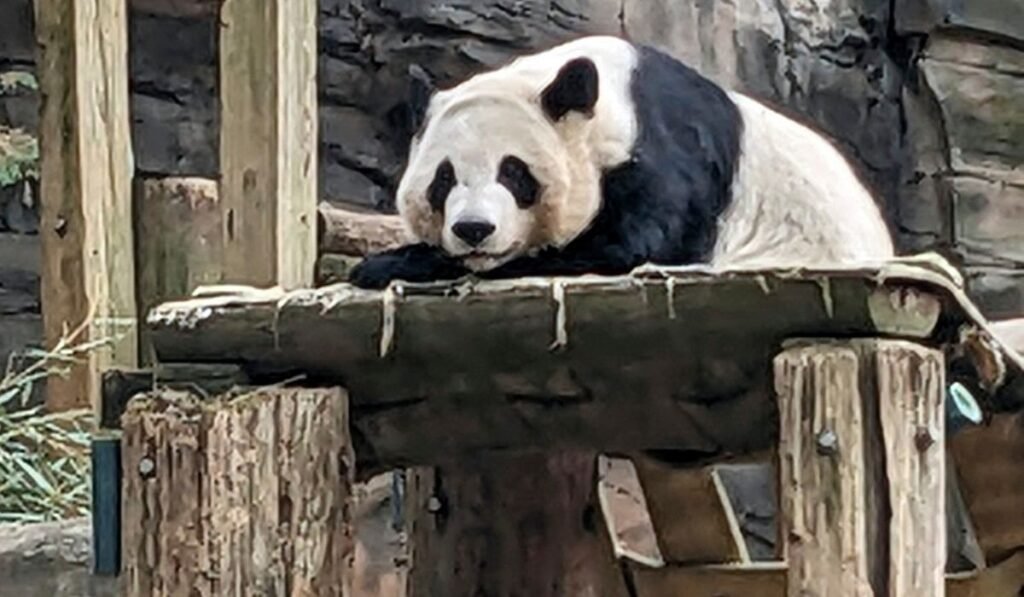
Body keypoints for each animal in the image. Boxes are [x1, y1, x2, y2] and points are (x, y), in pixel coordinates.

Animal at [348, 35, 894, 290]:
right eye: (443, 179)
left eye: (514, 173)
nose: (474, 230)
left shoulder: (665, 157)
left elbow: (622, 248)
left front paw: (389, 263)